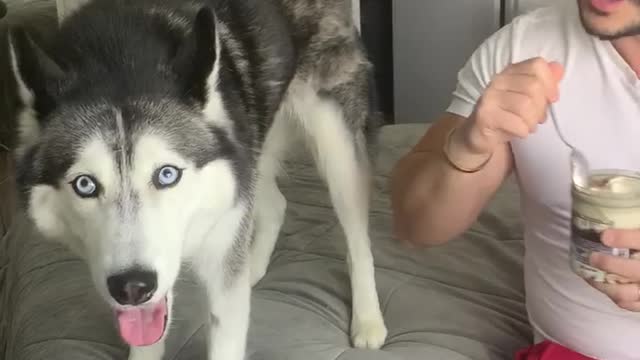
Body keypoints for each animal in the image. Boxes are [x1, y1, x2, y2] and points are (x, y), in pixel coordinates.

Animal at [7, 0, 388, 358]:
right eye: (85, 185)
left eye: (167, 174)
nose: (132, 287)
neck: (118, 57)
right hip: (250, 151)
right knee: (276, 205)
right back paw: (252, 268)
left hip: (334, 145)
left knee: (358, 242)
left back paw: (368, 319)